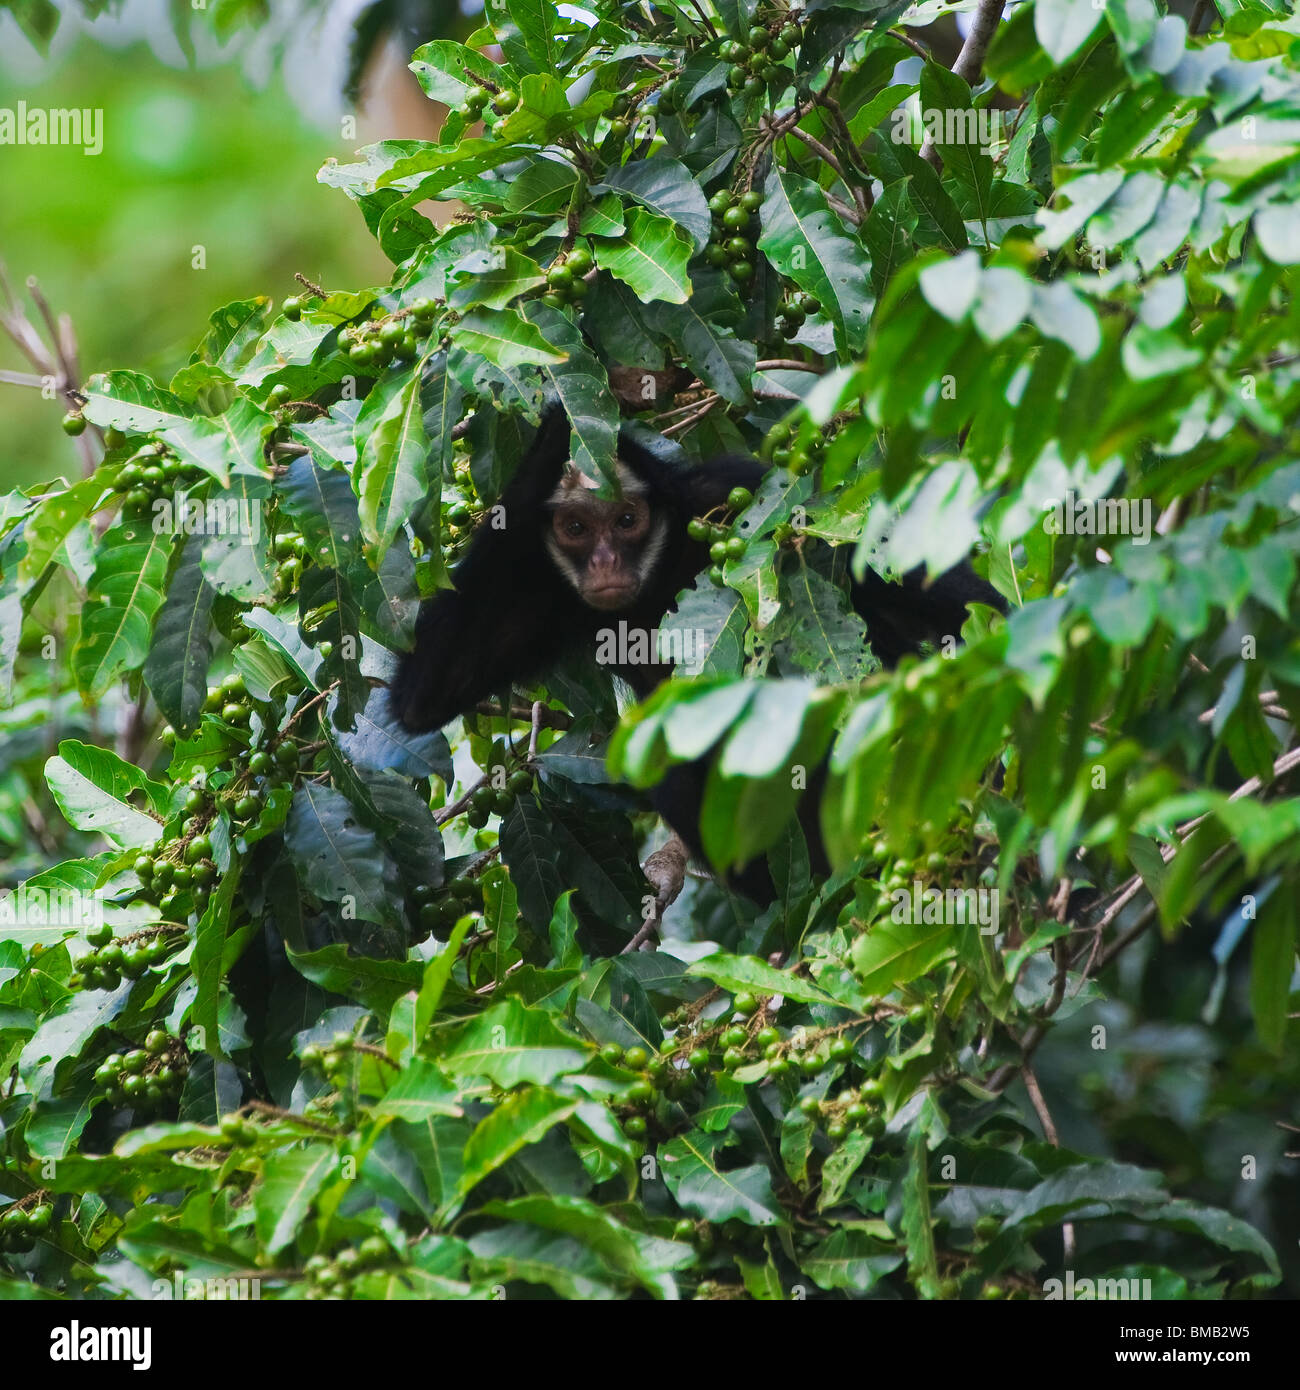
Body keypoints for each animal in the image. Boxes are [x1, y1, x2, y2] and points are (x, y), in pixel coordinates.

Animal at [392, 405, 1001, 906]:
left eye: (627, 521)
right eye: (576, 528)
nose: (606, 564)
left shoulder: (734, 489)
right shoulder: (540, 583)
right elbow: (425, 694)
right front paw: (557, 423)